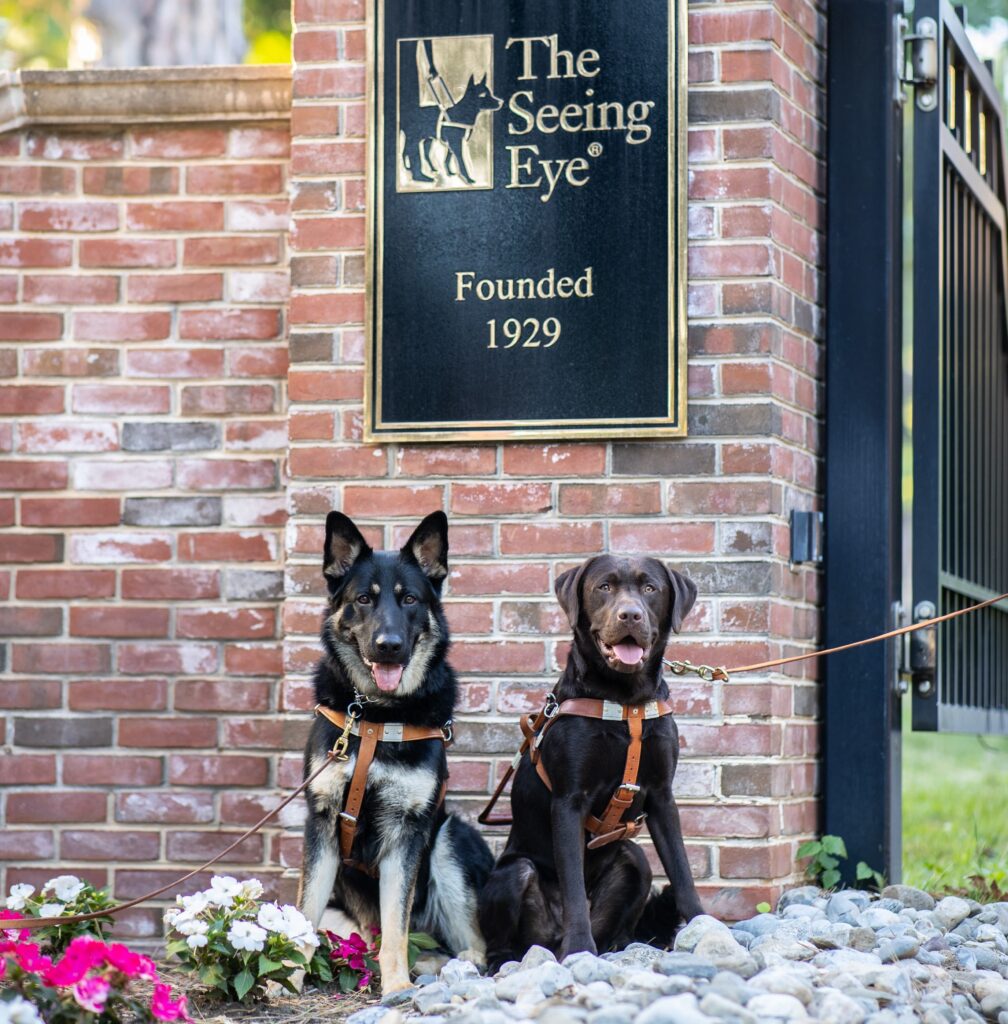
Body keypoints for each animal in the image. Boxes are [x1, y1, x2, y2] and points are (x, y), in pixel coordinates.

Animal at [479, 552, 700, 966]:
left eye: (650, 588)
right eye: (604, 586)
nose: (630, 615)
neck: (626, 702)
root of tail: (549, 939)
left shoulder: (662, 795)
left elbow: (682, 871)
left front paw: (705, 926)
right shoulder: (569, 800)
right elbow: (573, 885)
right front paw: (579, 948)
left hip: (634, 860)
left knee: (632, 880)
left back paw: (624, 945)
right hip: (514, 873)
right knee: (507, 928)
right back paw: (511, 957)